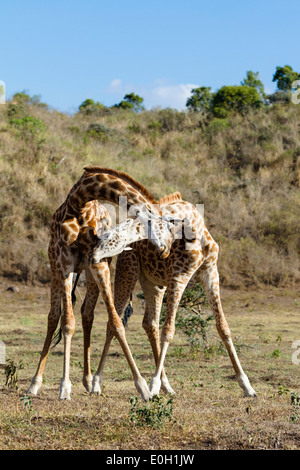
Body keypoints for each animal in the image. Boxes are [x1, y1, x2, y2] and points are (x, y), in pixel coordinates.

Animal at [27, 166, 178, 400]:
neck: (80, 204)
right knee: (53, 317)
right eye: (161, 224)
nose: (166, 250)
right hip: (55, 267)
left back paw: (88, 381)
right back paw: (35, 383)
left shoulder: (99, 263)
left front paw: (143, 388)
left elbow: (116, 323)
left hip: (88, 274)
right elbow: (67, 322)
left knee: (87, 313)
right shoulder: (64, 263)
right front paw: (64, 387)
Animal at [90, 193, 256, 398]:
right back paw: (97, 384)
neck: (195, 227)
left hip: (152, 283)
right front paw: (153, 385)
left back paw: (166, 386)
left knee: (149, 323)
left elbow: (223, 327)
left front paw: (247, 386)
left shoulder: (211, 274)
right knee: (113, 324)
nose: (94, 255)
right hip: (128, 272)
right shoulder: (179, 277)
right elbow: (169, 330)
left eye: (111, 236)